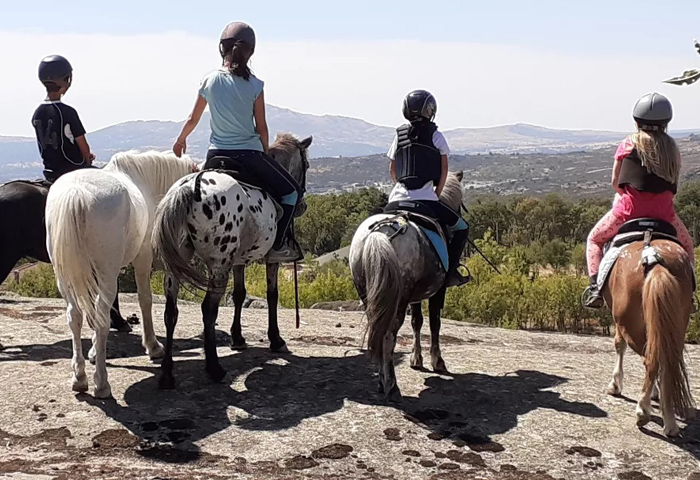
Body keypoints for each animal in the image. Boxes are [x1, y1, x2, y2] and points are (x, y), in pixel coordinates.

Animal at [44, 151, 197, 398]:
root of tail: (76, 194)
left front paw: (94, 352)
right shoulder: (142, 257)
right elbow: (145, 299)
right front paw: (153, 346)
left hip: (67, 278)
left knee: (75, 317)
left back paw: (79, 377)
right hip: (104, 275)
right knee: (101, 321)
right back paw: (101, 384)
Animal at [153, 133, 312, 388]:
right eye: (306, 165)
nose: (303, 205)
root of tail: (189, 188)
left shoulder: (237, 261)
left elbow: (239, 294)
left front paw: (237, 337)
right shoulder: (271, 260)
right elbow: (272, 295)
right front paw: (276, 339)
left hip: (175, 266)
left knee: (171, 312)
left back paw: (167, 374)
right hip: (219, 265)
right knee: (208, 310)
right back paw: (214, 368)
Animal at [348, 171, 464, 404]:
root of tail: (380, 233)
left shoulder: (416, 297)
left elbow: (417, 322)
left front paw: (416, 359)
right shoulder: (437, 292)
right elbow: (434, 324)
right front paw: (437, 361)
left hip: (369, 294)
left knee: (377, 331)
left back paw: (382, 382)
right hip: (397, 301)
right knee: (387, 337)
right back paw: (391, 386)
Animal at [600, 238, 696, 436]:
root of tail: (653, 258)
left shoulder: (619, 323)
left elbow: (619, 345)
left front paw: (615, 385)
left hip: (629, 324)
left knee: (651, 360)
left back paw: (643, 411)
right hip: (677, 325)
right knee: (666, 362)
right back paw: (670, 421)